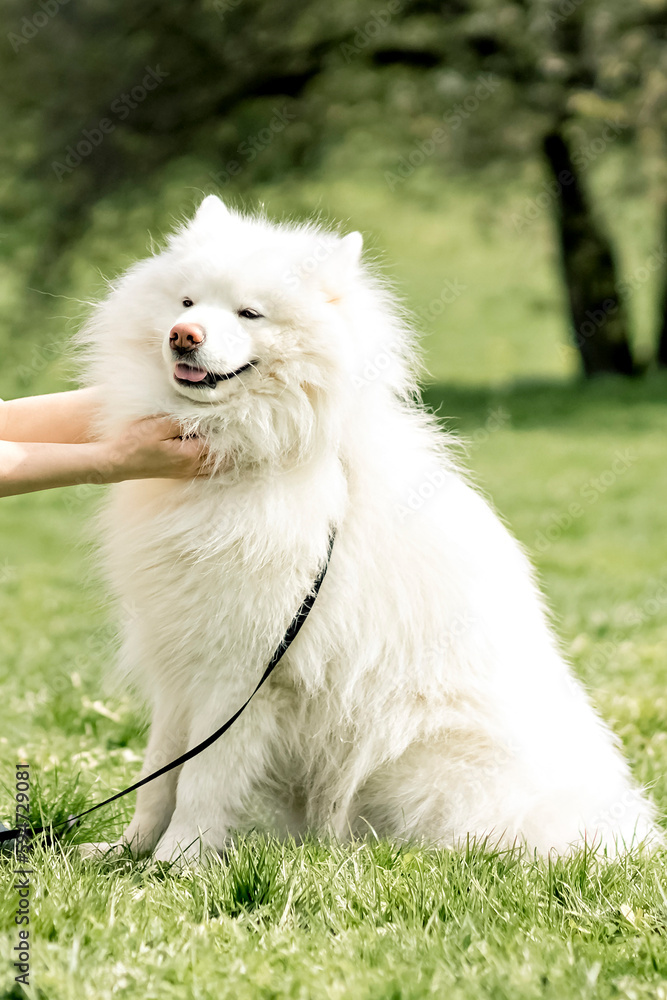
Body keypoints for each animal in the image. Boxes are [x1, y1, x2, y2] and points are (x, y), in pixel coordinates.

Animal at [81, 197, 660, 868]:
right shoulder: (181, 662)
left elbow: (201, 781)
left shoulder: (244, 674)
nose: (184, 336)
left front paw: (177, 864)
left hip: (415, 759)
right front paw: (125, 852)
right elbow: (158, 777)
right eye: (186, 302)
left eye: (250, 313)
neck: (251, 455)